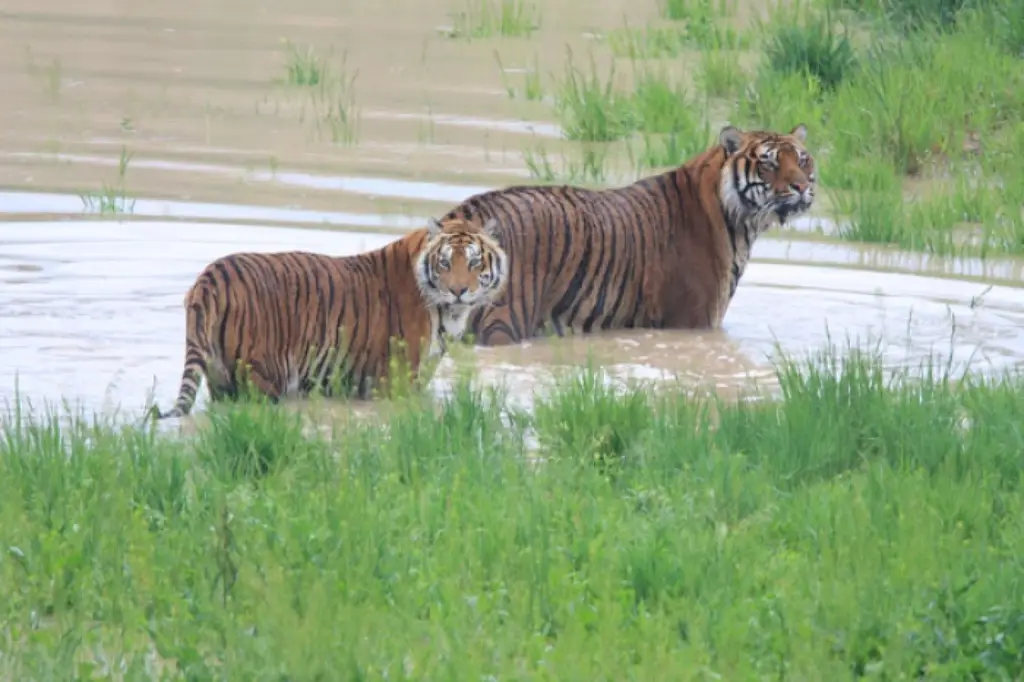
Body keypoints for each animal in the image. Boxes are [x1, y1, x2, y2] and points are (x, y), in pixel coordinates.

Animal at [151, 212, 507, 417]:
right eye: (445, 262)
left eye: (474, 262)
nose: (458, 290)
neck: (448, 311)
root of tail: (210, 277)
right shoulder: (396, 379)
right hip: (263, 377)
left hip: (220, 378)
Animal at [438, 122, 815, 346]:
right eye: (769, 163)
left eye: (802, 160)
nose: (801, 186)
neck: (741, 223)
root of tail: (467, 210)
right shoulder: (693, 320)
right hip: (503, 322)